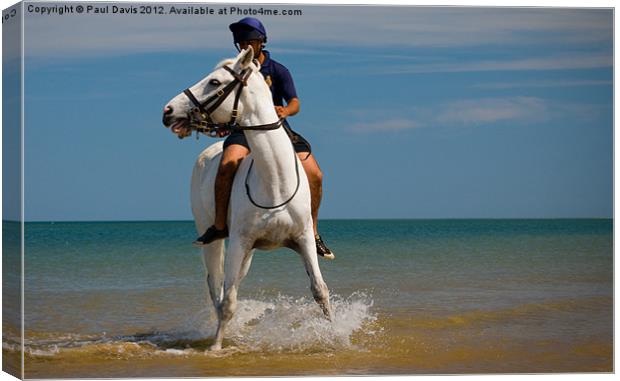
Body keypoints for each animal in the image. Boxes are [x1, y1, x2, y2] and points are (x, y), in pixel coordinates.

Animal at [162, 47, 332, 350]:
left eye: (214, 82)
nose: (168, 111)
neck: (275, 180)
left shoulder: (302, 239)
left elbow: (320, 291)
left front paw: (336, 335)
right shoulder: (239, 241)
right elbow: (228, 301)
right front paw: (216, 348)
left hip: (248, 254)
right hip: (215, 240)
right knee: (216, 287)